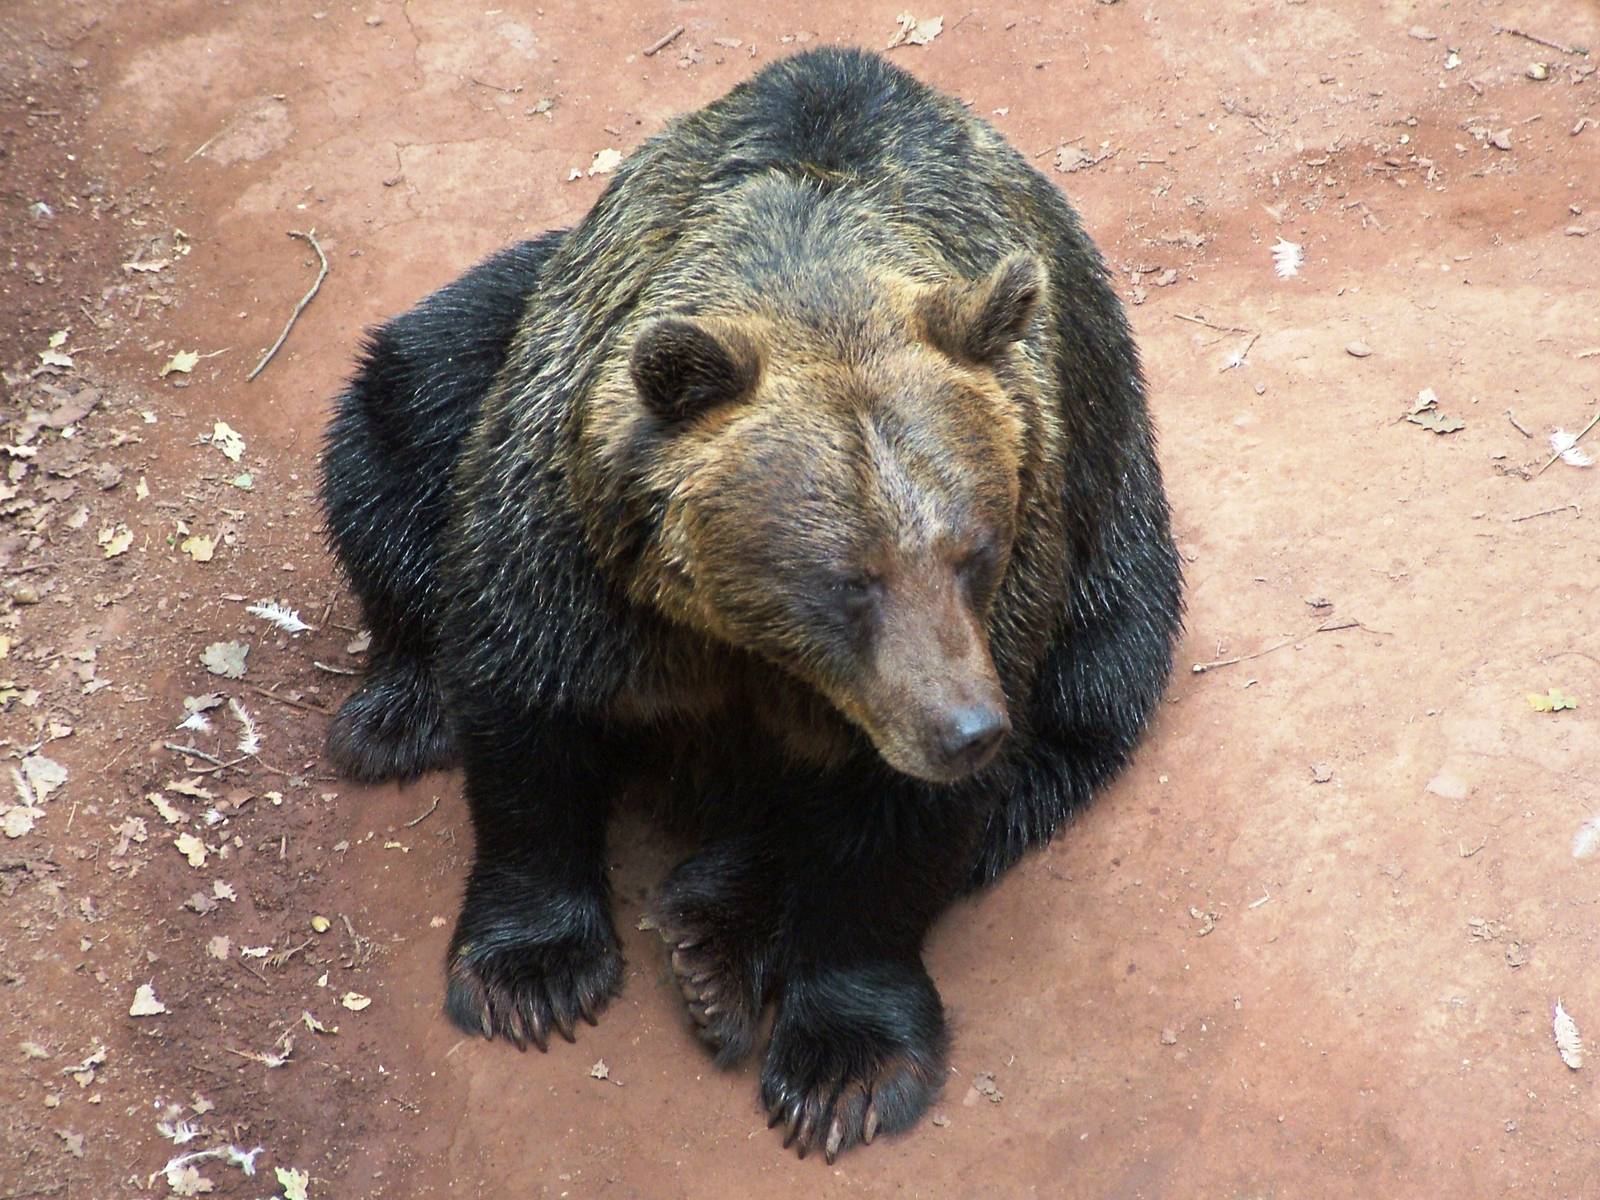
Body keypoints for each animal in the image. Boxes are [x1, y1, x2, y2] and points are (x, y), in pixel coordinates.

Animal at [319, 46, 1182, 1163]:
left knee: (1079, 720)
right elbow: (524, 708)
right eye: (848, 577)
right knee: (399, 410)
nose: (964, 728)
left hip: (1113, 554)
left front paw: (845, 1064)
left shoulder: (1015, 588)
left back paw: (717, 930)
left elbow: (900, 830)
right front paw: (530, 972)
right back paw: (396, 712)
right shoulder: (571, 537)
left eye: (973, 552)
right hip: (470, 353)